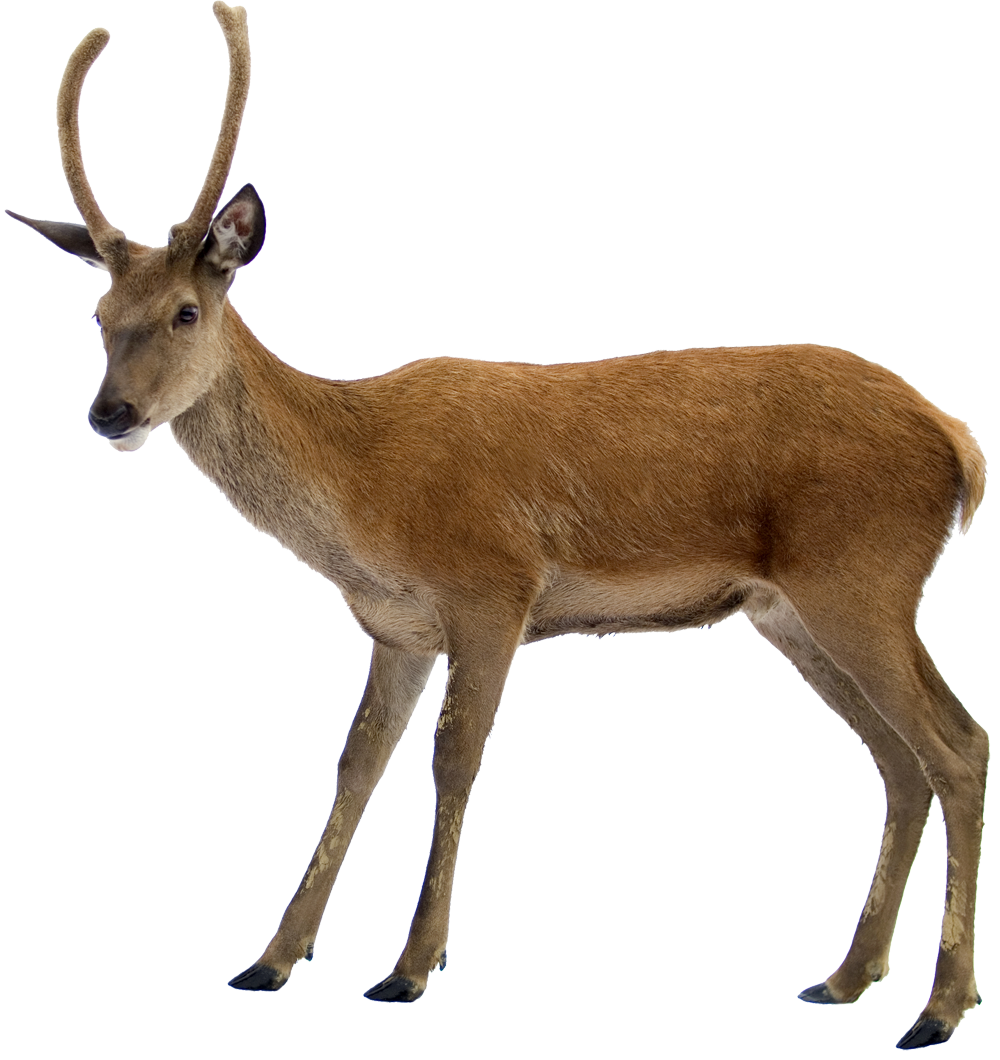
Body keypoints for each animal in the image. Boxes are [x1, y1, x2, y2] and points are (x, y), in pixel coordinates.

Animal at [7, 3, 988, 1047]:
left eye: (187, 311)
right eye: (100, 315)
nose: (109, 413)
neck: (361, 493)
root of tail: (960, 445)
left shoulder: (493, 588)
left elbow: (454, 759)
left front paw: (408, 970)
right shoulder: (397, 627)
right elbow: (353, 764)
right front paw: (271, 960)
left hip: (861, 577)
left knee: (957, 746)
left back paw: (937, 1007)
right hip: (789, 610)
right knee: (900, 759)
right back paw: (847, 978)